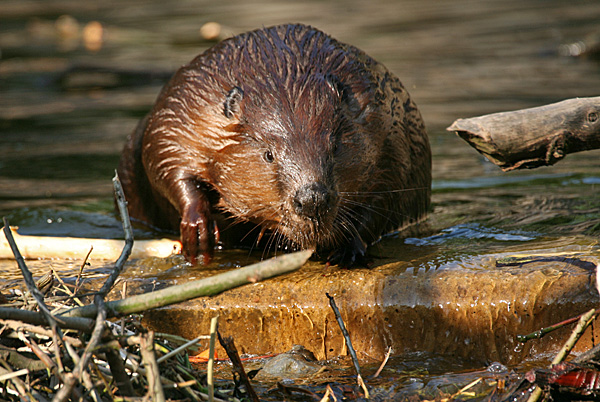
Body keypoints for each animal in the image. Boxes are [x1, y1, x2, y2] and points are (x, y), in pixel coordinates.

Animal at [116, 23, 432, 266]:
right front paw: (198, 231)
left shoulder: (391, 128)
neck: (285, 80)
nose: (312, 200)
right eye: (268, 154)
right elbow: (165, 162)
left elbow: (389, 195)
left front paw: (348, 249)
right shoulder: (185, 110)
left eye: (335, 146)